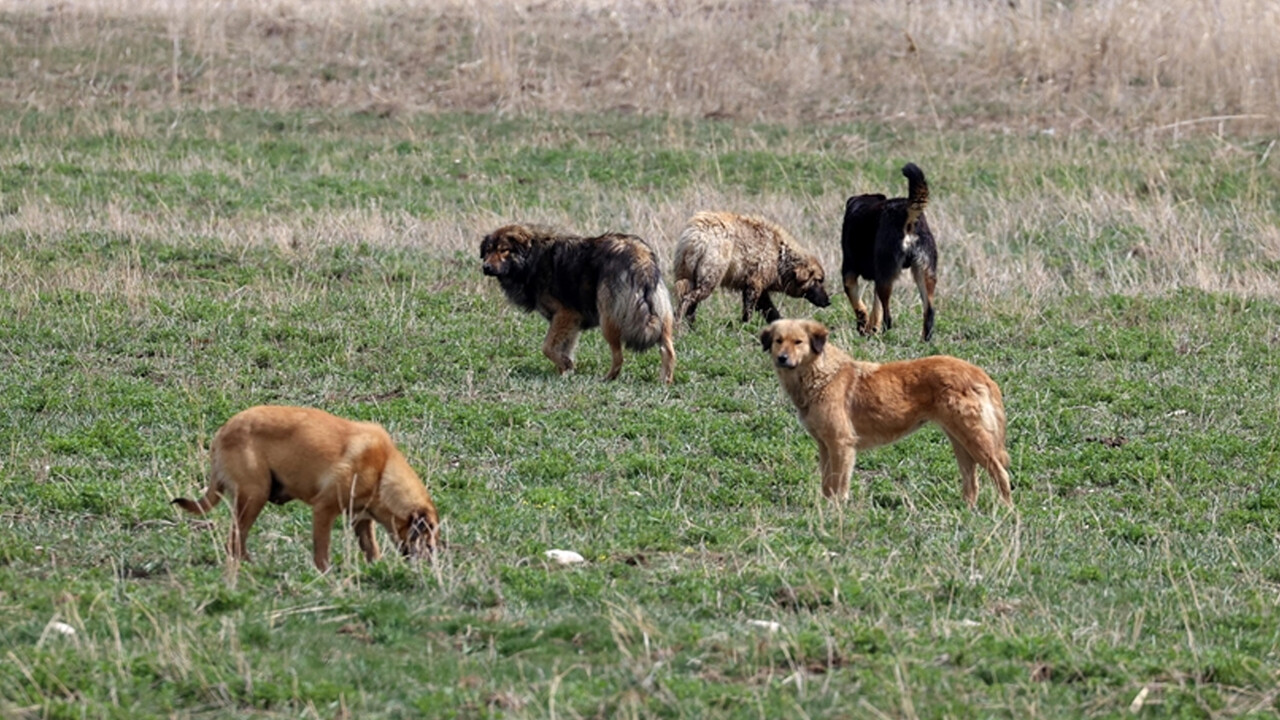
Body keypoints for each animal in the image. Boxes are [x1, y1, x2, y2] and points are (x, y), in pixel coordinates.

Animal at [172, 407, 440, 568]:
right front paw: (326, 574)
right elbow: (322, 550)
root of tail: (221, 433)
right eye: (428, 542)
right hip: (254, 496)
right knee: (235, 541)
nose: (432, 564)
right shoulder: (324, 509)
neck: (383, 471)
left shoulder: (361, 520)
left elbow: (371, 549)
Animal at [481, 222, 680, 381]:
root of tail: (640, 257)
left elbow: (547, 347)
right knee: (668, 350)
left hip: (608, 320)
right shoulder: (571, 322)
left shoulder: (565, 314)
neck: (532, 257)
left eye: (504, 250)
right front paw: (564, 373)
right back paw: (665, 381)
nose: (486, 267)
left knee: (619, 356)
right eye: (488, 251)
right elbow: (562, 348)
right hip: (661, 317)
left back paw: (607, 378)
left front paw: (566, 365)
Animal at [670, 210, 829, 325]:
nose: (828, 301)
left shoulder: (759, 287)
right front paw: (745, 326)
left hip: (688, 275)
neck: (780, 256)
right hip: (710, 278)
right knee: (688, 299)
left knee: (689, 302)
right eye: (819, 280)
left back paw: (690, 327)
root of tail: (696, 235)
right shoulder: (754, 283)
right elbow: (749, 310)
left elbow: (771, 311)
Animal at [757, 319, 1008, 504]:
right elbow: (827, 483)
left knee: (1001, 474)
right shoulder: (825, 445)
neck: (821, 375)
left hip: (974, 439)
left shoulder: (841, 443)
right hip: (960, 442)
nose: (782, 358)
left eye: (798, 342)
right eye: (778, 341)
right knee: (972, 483)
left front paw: (836, 511)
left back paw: (1005, 511)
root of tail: (979, 373)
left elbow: (839, 484)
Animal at [839, 163, 942, 340]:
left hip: (885, 275)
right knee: (929, 311)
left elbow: (859, 305)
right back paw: (924, 340)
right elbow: (875, 309)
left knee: (888, 316)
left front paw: (863, 326)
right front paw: (870, 329)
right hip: (924, 273)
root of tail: (907, 213)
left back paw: (886, 335)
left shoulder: (849, 272)